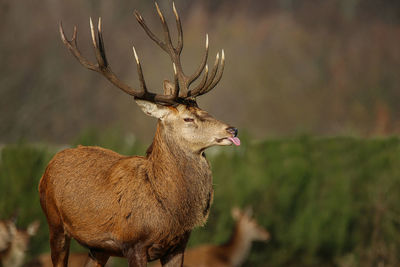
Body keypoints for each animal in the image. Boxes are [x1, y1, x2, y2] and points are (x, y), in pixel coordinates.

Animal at [39, 2, 241, 267]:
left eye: (204, 110)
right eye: (188, 118)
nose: (232, 129)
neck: (169, 212)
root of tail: (49, 165)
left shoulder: (178, 246)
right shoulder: (134, 243)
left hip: (98, 247)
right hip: (55, 223)